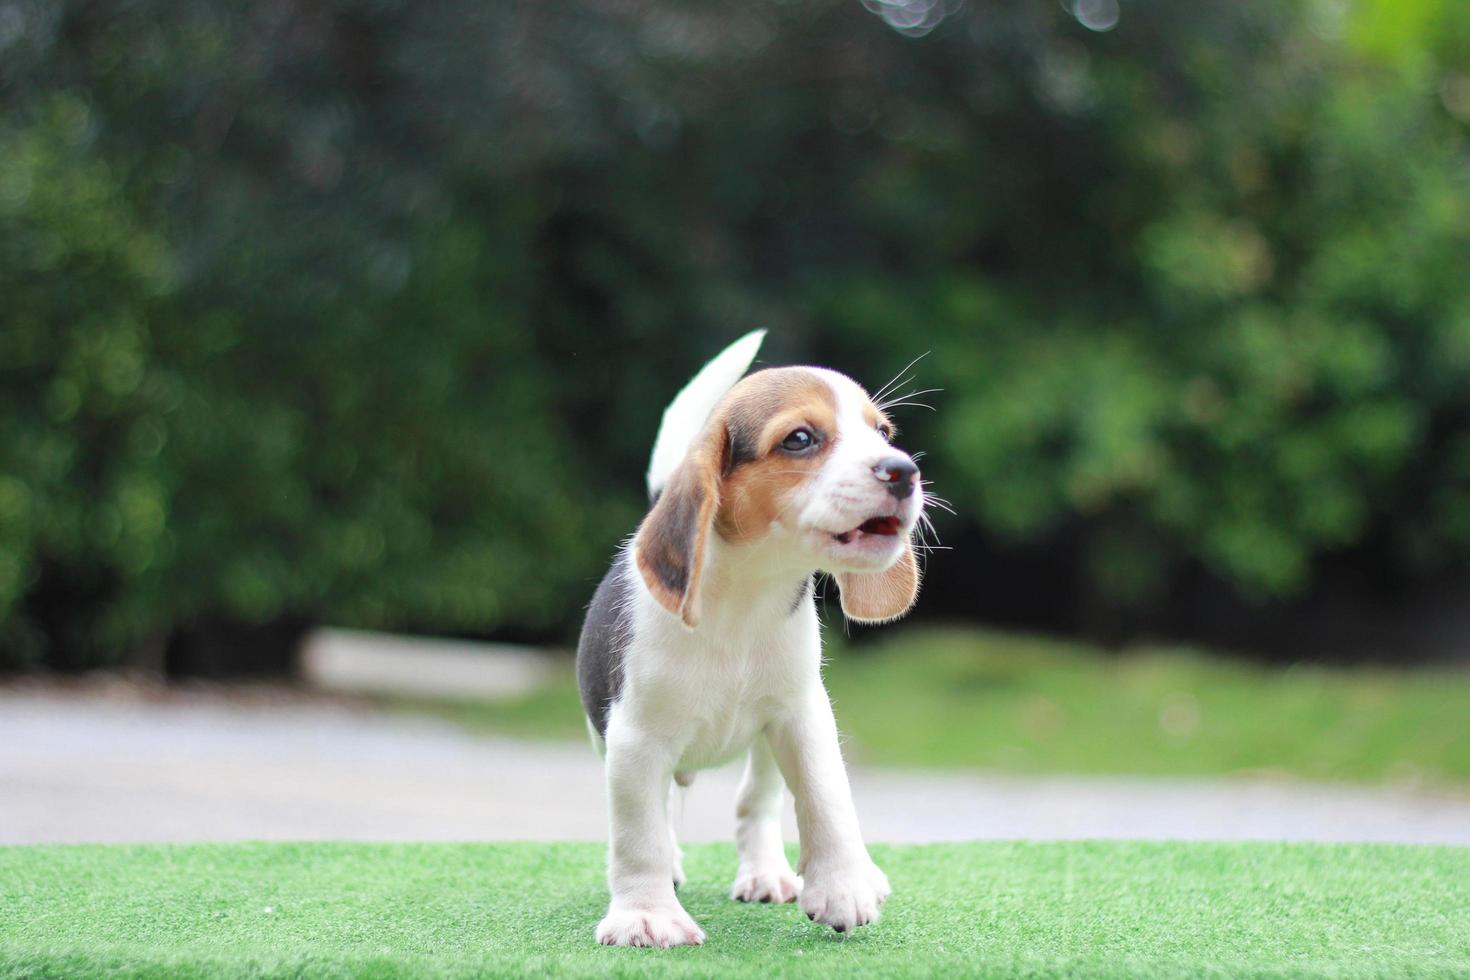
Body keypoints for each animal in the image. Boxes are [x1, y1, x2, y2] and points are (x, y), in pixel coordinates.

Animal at [579, 332, 923, 952]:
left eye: (883, 433)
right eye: (800, 439)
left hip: (766, 738)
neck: (744, 599)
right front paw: (646, 913)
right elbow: (639, 834)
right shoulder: (635, 740)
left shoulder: (802, 714)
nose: (904, 471)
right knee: (662, 813)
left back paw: (770, 874)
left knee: (755, 804)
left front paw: (843, 885)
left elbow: (827, 796)